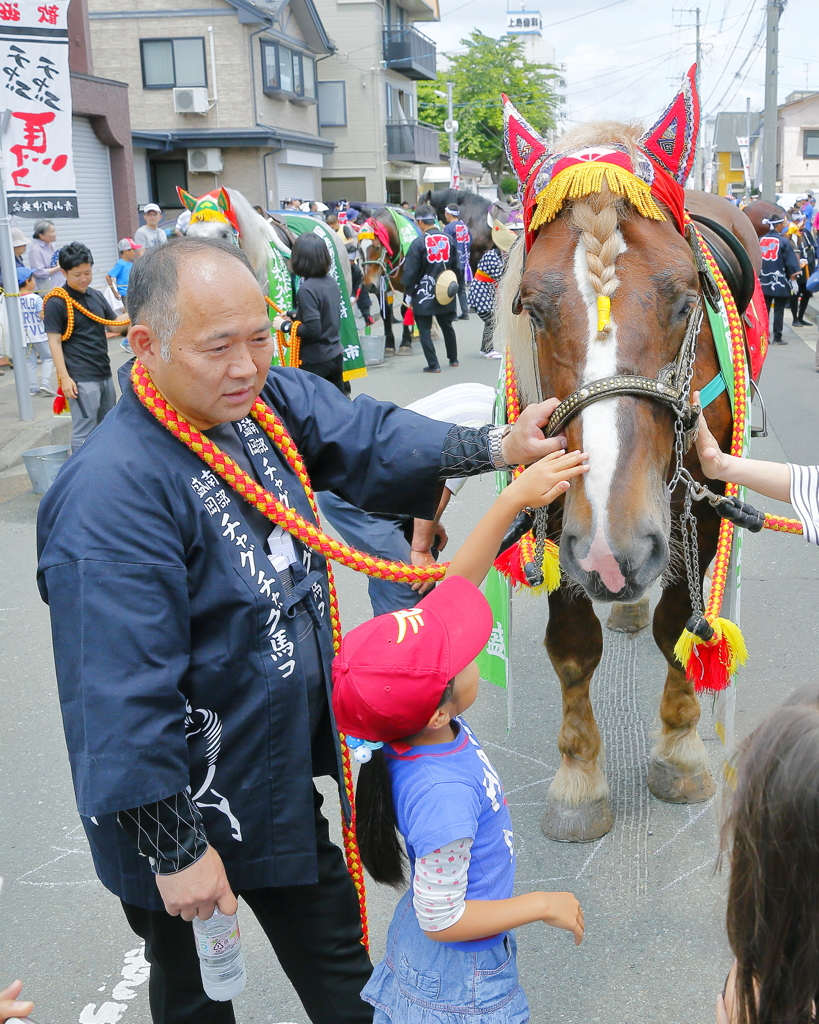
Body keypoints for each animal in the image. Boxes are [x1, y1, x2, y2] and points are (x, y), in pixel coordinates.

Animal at [499, 121, 761, 839]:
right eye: (533, 309)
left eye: (683, 299)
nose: (616, 555)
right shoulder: (559, 512)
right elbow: (571, 647)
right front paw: (578, 779)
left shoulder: (698, 510)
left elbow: (679, 629)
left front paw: (679, 749)